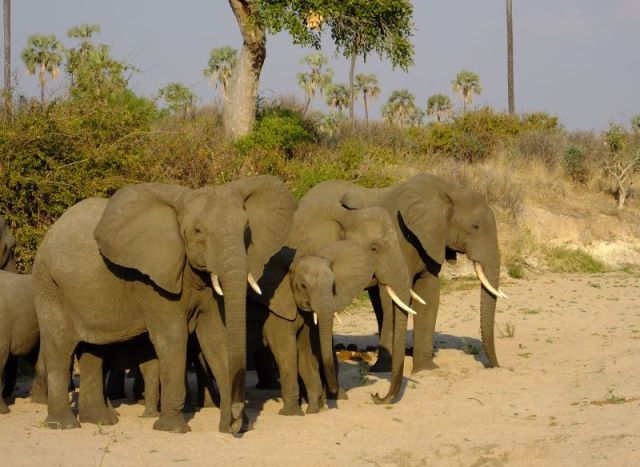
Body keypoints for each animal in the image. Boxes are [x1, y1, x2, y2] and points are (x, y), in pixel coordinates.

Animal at [32, 175, 296, 433]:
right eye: (198, 231)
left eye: (246, 230)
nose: (237, 417)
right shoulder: (150, 278)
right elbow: (172, 336)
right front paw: (172, 428)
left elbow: (214, 337)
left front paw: (233, 426)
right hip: (49, 285)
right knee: (60, 347)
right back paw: (63, 425)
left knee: (93, 353)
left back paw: (100, 421)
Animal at [299, 173, 505, 374]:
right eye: (475, 227)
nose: (494, 366)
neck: (446, 189)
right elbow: (392, 297)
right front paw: (384, 369)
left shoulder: (429, 244)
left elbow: (429, 294)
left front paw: (425, 369)